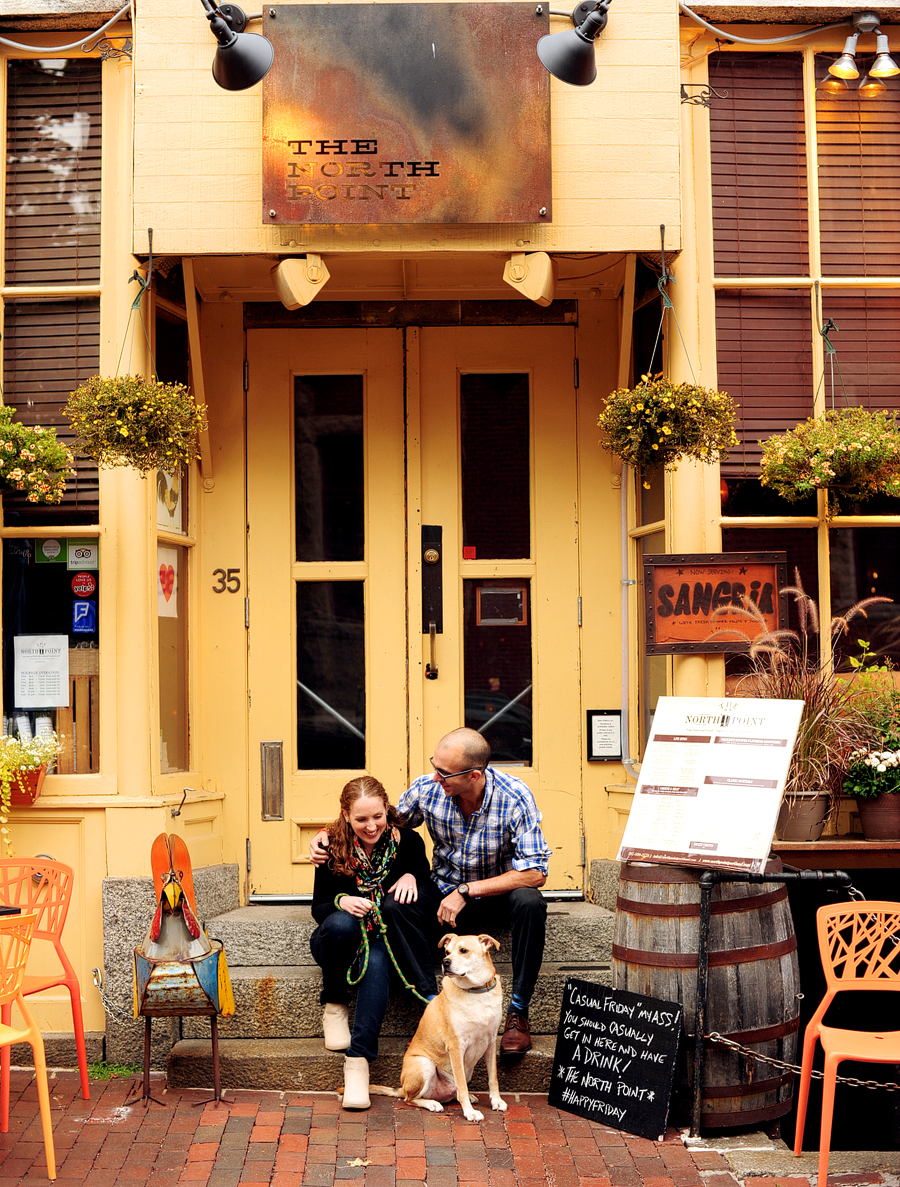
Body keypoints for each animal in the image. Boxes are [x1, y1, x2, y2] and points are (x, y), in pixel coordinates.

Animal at [368, 935, 508, 1120]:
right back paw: (432, 1103)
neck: (476, 992)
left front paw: (496, 1101)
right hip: (424, 1064)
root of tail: (402, 1088)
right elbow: (462, 1086)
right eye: (447, 952)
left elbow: (493, 1078)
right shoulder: (456, 1046)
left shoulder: (491, 1042)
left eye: (463, 950)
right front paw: (469, 1112)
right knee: (410, 1099)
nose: (445, 962)